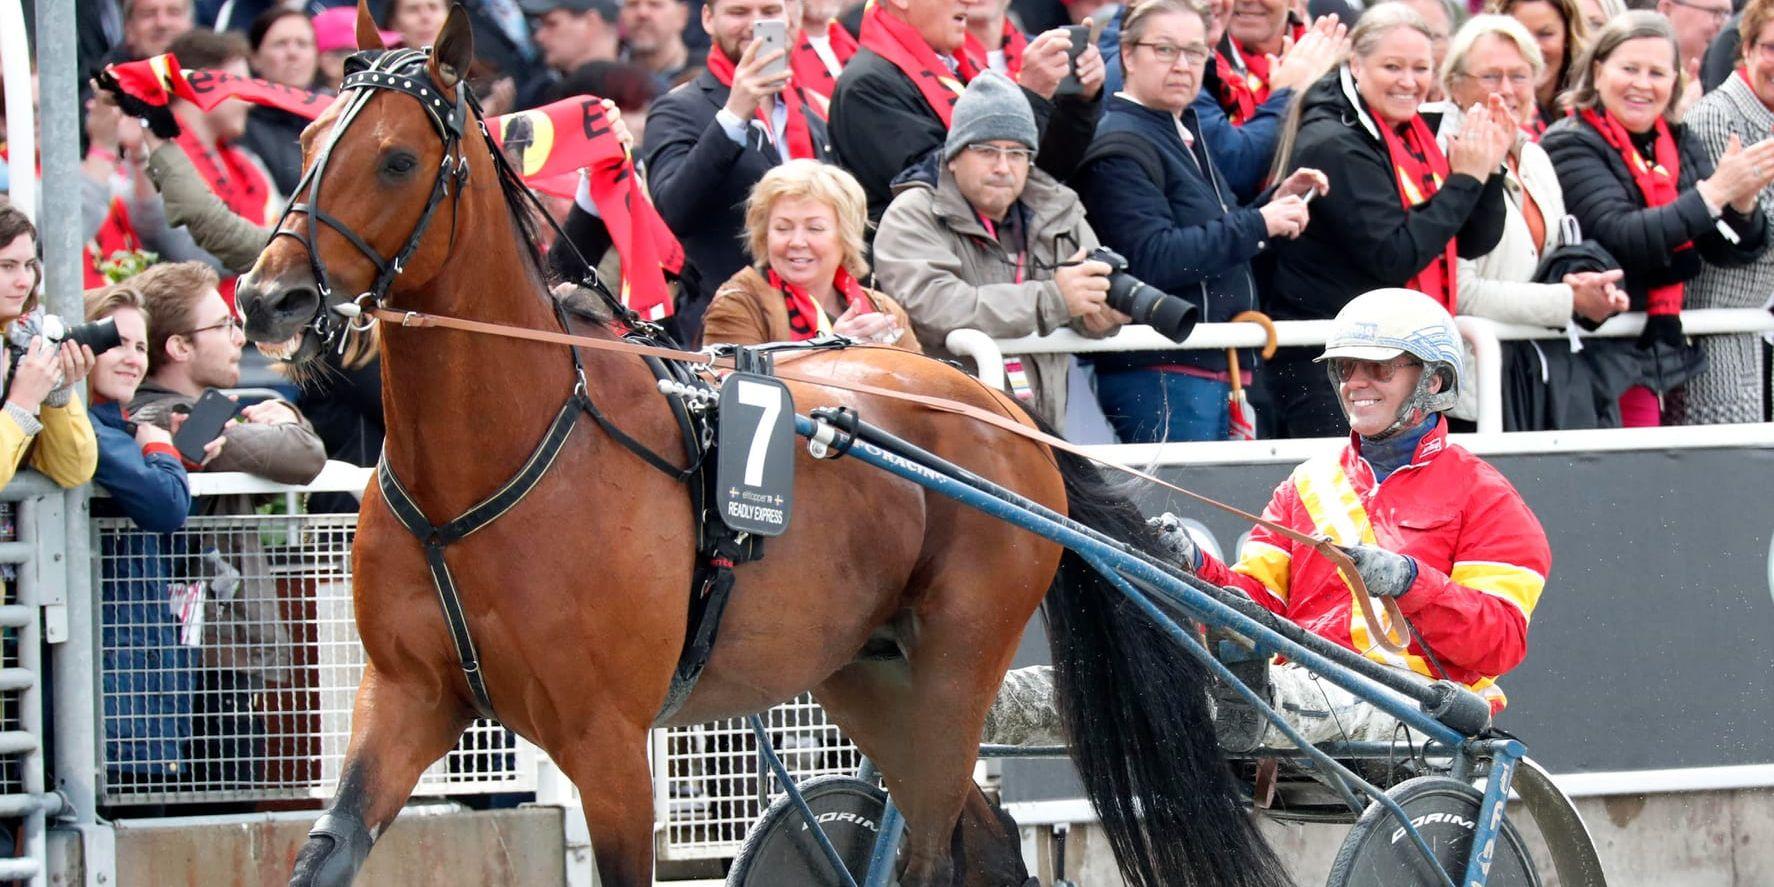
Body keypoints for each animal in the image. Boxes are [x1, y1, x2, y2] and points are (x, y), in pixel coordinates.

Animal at [235, 3, 1291, 883]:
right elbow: (324, 851)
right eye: (309, 137)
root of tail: (1000, 412)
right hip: (866, 670)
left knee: (937, 848)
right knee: (980, 839)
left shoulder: (607, 741)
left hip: (955, 668)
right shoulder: (404, 696)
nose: (266, 296)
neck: (489, 465)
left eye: (396, 160)